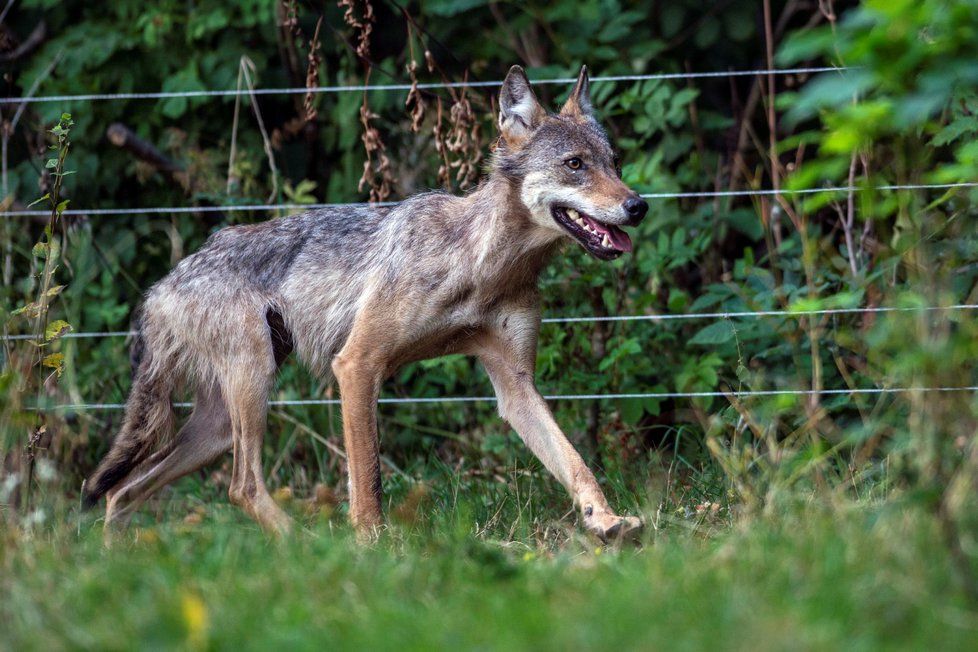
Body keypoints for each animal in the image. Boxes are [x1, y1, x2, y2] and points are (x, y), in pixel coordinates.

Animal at [82, 66, 648, 544]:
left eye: (615, 164)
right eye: (574, 165)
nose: (638, 205)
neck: (484, 264)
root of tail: (163, 286)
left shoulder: (515, 386)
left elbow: (575, 462)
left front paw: (606, 520)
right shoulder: (356, 365)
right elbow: (369, 479)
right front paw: (374, 550)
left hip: (219, 426)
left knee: (122, 492)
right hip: (252, 388)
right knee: (239, 486)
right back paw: (304, 545)